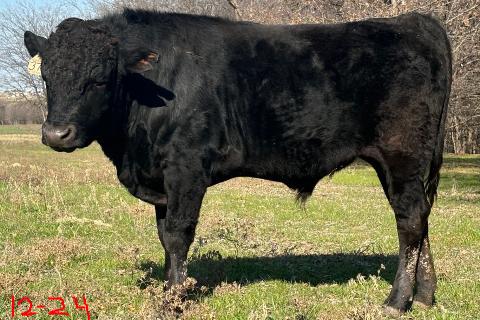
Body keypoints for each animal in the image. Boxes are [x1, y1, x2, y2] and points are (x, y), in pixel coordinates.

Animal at [23, 9, 450, 316]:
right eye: (46, 76)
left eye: (100, 79)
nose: (56, 134)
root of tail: (414, 21)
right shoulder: (161, 179)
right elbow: (163, 236)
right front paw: (170, 288)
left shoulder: (185, 169)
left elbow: (178, 235)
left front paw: (173, 300)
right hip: (402, 166)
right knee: (421, 218)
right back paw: (424, 296)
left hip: (402, 155)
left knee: (410, 223)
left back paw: (396, 301)